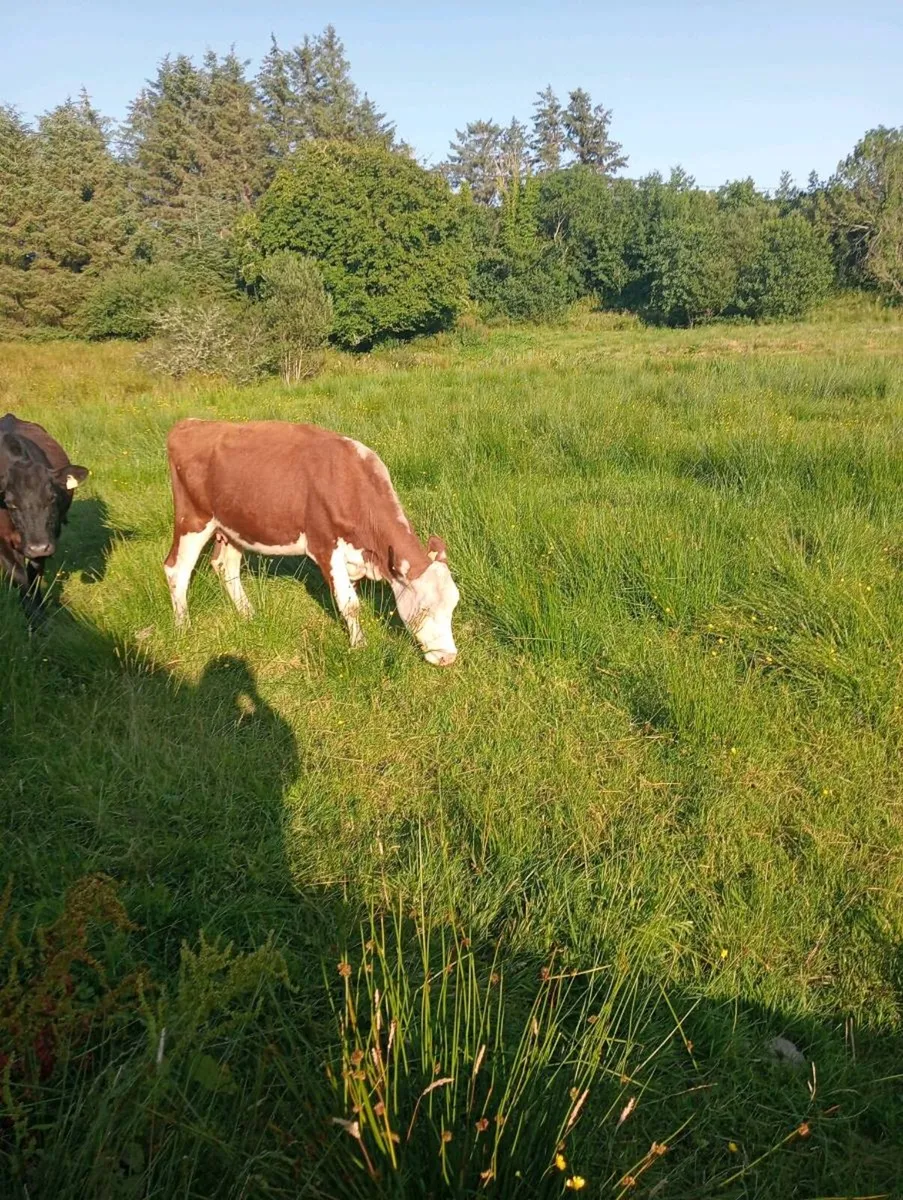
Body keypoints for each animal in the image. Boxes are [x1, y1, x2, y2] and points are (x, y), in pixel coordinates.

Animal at [0, 413, 89, 613]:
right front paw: (30, 613)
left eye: (52, 498)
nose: (39, 547)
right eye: (11, 504)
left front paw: (39, 610)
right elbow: (18, 576)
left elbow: (34, 573)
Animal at [164, 419, 460, 666]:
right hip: (193, 520)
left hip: (233, 525)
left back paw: (248, 614)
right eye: (424, 609)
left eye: (453, 606)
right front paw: (360, 646)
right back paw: (183, 627)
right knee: (176, 569)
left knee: (226, 566)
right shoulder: (325, 545)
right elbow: (349, 603)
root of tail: (190, 424)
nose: (448, 658)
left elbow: (349, 598)